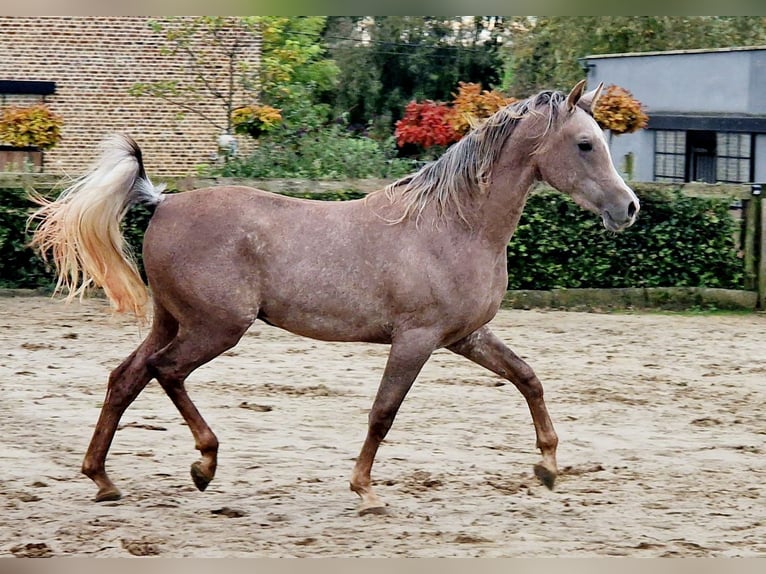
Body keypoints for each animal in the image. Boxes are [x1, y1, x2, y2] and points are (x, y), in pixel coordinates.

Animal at [30, 80, 640, 516]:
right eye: (585, 144)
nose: (629, 208)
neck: (454, 225)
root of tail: (164, 202)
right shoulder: (416, 340)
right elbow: (383, 412)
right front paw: (366, 491)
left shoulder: (465, 336)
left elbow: (528, 378)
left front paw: (548, 467)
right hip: (216, 328)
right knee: (165, 372)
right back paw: (204, 465)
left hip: (172, 320)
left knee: (127, 377)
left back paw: (103, 480)